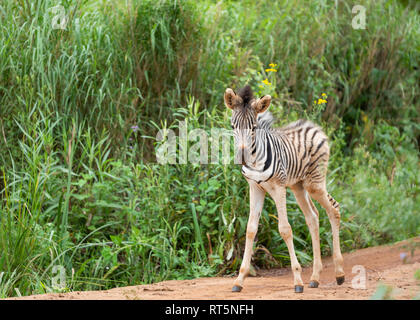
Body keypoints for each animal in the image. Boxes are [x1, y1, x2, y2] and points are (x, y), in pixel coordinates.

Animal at [226, 85, 344, 292]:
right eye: (233, 127)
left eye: (254, 128)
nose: (241, 157)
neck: (255, 160)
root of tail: (315, 126)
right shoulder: (255, 188)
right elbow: (250, 229)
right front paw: (239, 280)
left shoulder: (279, 187)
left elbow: (285, 229)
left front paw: (297, 280)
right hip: (299, 187)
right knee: (313, 217)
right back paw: (315, 277)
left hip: (314, 183)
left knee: (334, 209)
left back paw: (339, 273)